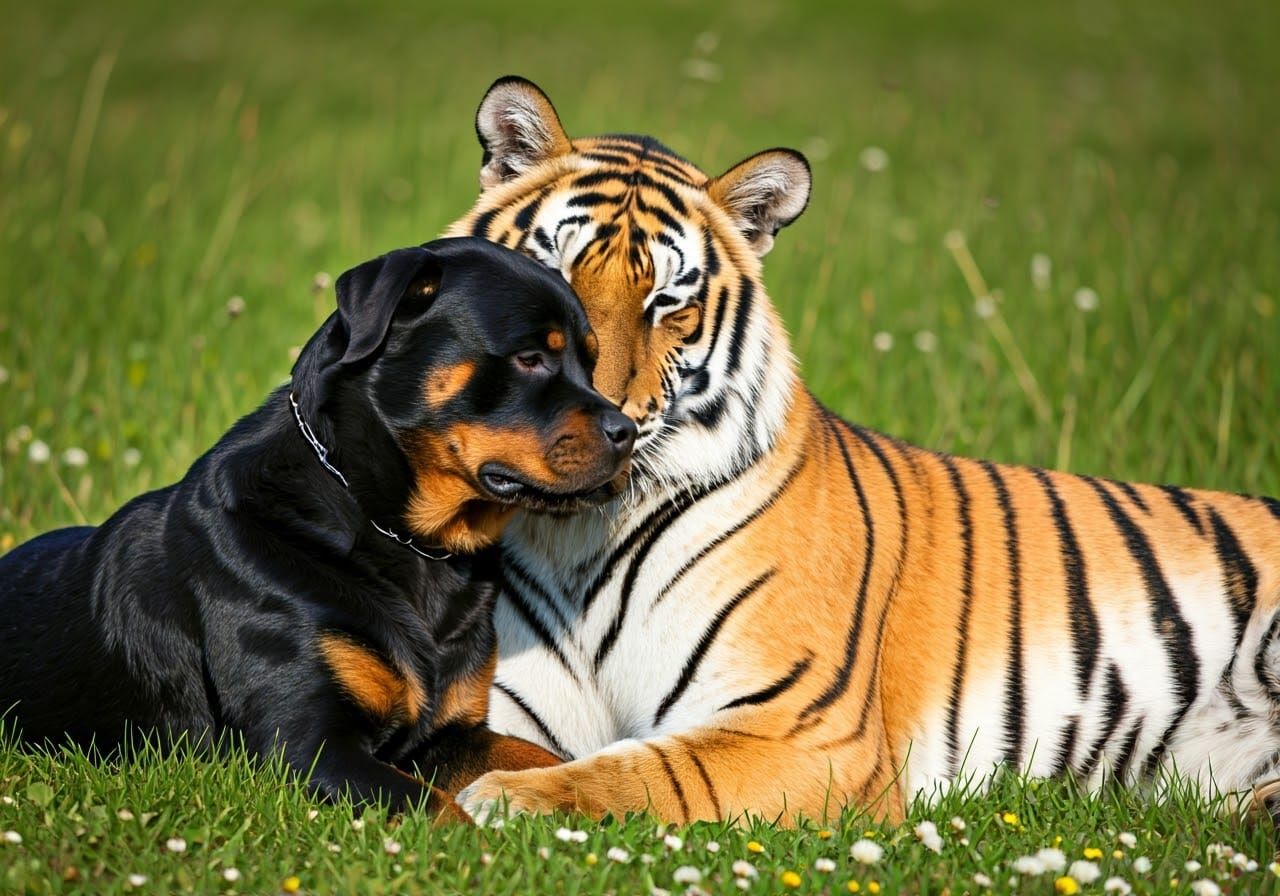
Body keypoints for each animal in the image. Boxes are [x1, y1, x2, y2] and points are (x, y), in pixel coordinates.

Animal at [441, 76, 1280, 825]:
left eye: (667, 305)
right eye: (551, 278)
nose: (602, 418)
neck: (576, 539)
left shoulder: (802, 729)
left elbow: (647, 770)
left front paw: (510, 799)